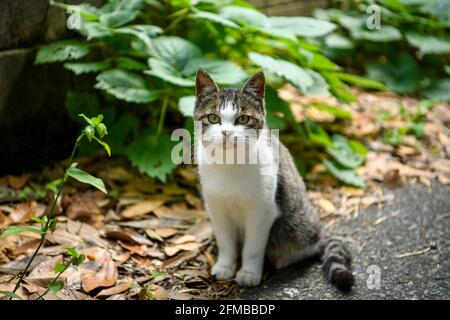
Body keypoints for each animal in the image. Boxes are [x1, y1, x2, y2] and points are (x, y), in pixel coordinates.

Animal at [193, 68, 356, 290]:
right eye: (212, 117)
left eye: (243, 119)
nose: (226, 133)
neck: (229, 163)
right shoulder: (216, 208)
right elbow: (226, 242)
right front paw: (225, 266)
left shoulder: (263, 211)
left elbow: (253, 248)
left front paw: (249, 273)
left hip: (294, 227)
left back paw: (281, 259)